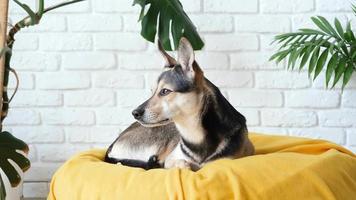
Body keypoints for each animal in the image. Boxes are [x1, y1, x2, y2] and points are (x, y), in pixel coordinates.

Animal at [104, 38, 254, 170]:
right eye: (152, 91)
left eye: (165, 91)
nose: (134, 113)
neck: (194, 134)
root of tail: (113, 144)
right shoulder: (171, 159)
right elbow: (179, 163)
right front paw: (185, 165)